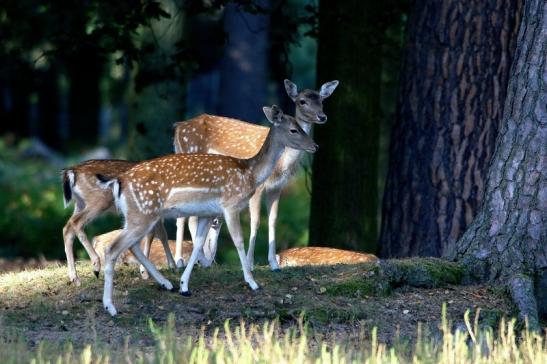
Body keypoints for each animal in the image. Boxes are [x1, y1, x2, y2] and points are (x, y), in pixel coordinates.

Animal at [97, 105, 316, 316]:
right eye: (293, 129)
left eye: (301, 125)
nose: (315, 145)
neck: (250, 173)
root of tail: (118, 181)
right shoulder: (230, 204)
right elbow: (238, 241)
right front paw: (253, 283)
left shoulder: (208, 212)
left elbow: (198, 243)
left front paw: (184, 286)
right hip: (143, 213)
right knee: (113, 249)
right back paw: (110, 307)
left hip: (136, 215)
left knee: (132, 245)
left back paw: (166, 284)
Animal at [174, 79, 338, 270]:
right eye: (302, 101)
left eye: (322, 100)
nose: (322, 117)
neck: (281, 164)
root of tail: (178, 127)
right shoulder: (258, 187)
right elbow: (256, 221)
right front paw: (250, 263)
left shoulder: (277, 187)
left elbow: (273, 220)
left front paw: (273, 264)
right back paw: (181, 261)